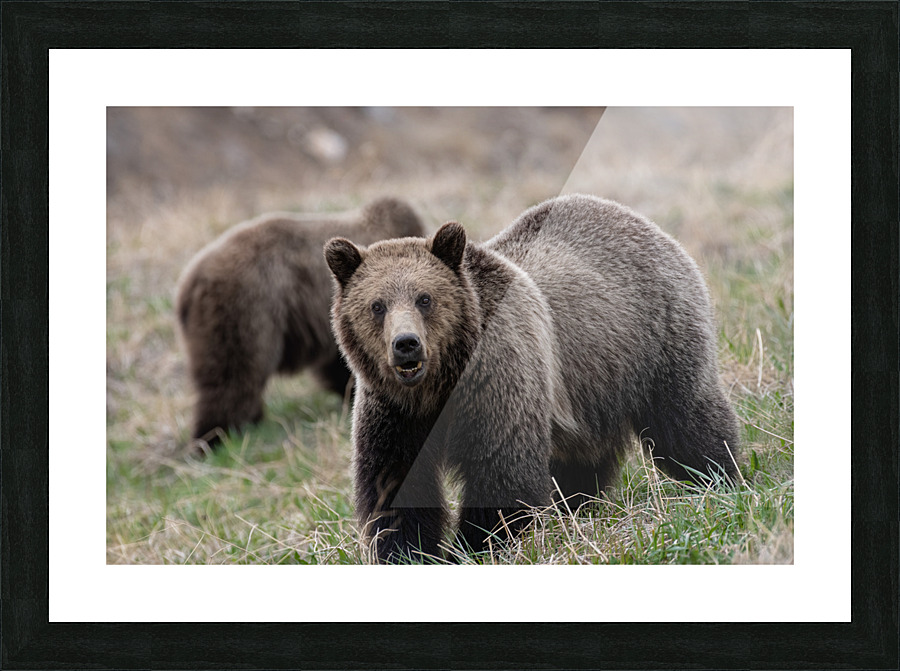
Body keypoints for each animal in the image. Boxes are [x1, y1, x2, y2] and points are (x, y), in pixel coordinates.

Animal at [324, 193, 740, 563]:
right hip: (592, 388)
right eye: (377, 305)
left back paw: (720, 479)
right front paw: (408, 553)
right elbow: (395, 484)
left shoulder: (499, 381)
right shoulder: (394, 413)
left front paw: (474, 548)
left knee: (685, 421)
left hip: (655, 341)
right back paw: (577, 507)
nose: (406, 344)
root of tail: (640, 220)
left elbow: (503, 475)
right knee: (582, 458)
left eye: (425, 298)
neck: (438, 388)